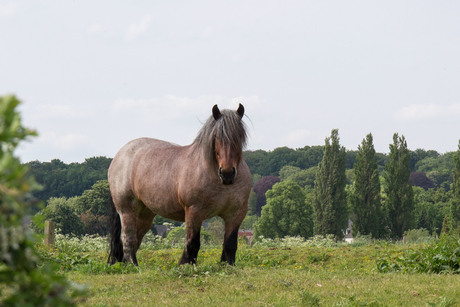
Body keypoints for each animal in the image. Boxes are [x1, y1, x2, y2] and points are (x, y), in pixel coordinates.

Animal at [107, 104, 252, 266]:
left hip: (145, 214)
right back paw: (133, 266)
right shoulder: (194, 211)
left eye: (240, 136)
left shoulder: (235, 214)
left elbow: (230, 245)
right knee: (128, 238)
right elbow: (193, 243)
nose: (227, 173)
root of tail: (120, 154)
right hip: (126, 210)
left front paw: (227, 266)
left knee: (135, 239)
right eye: (216, 137)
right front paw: (185, 265)